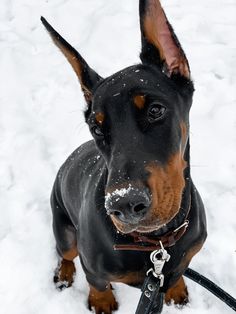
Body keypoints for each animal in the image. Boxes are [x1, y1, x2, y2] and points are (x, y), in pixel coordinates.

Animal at [42, 1, 206, 312]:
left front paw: (177, 288)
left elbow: (179, 270)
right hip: (65, 229)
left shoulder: (184, 255)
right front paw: (102, 301)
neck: (156, 246)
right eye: (97, 127)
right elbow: (96, 281)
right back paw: (64, 273)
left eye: (155, 110)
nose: (125, 204)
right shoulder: (93, 265)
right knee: (64, 252)